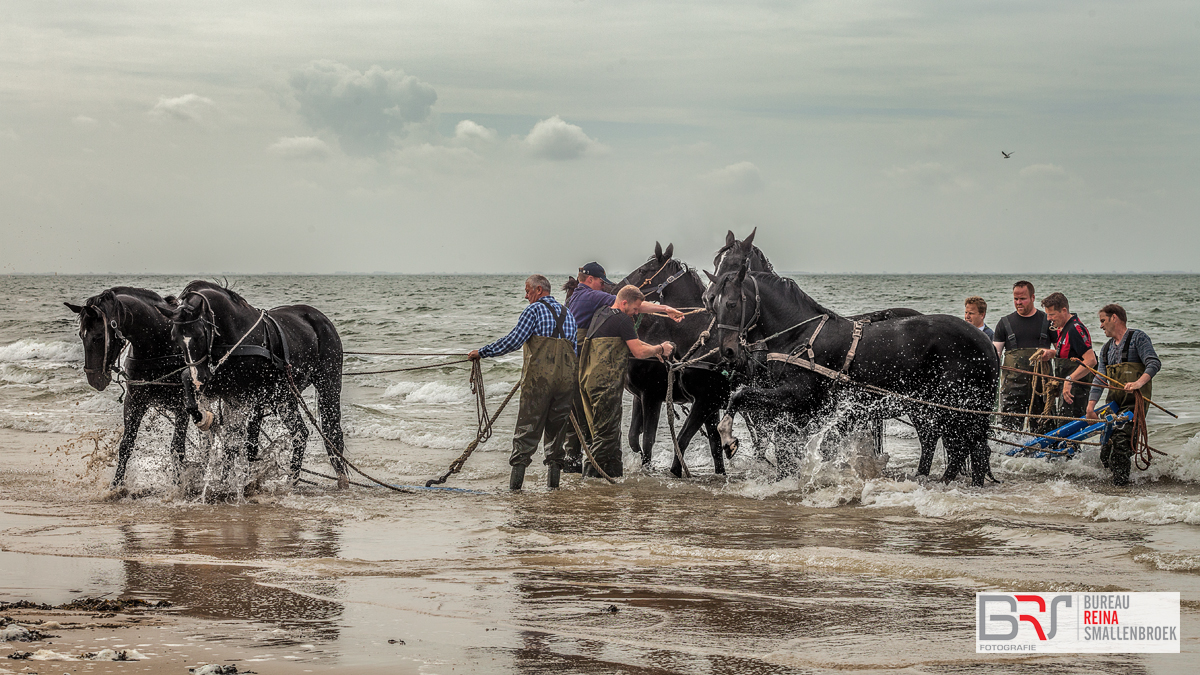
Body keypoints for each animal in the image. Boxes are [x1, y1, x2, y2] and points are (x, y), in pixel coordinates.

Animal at [66, 284, 189, 482]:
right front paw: (116, 485)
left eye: (98, 337)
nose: (94, 380)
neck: (161, 343)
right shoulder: (134, 402)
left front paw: (180, 484)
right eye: (80, 335)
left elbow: (177, 449)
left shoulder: (183, 407)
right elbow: (126, 445)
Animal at [157, 281, 350, 485]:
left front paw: (240, 482)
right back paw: (292, 480)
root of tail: (321, 318)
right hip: (285, 396)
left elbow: (244, 444)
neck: (237, 334)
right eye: (175, 338)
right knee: (300, 433)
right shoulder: (221, 387)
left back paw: (335, 478)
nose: (199, 380)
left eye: (201, 335)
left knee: (332, 431)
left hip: (328, 384)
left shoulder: (252, 396)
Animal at [700, 263, 993, 482]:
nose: (727, 351)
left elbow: (740, 395)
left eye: (732, 304)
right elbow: (784, 444)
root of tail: (984, 340)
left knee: (965, 448)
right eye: (711, 304)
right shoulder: (796, 408)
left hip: (954, 406)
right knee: (962, 447)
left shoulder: (796, 395)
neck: (799, 334)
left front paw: (728, 438)